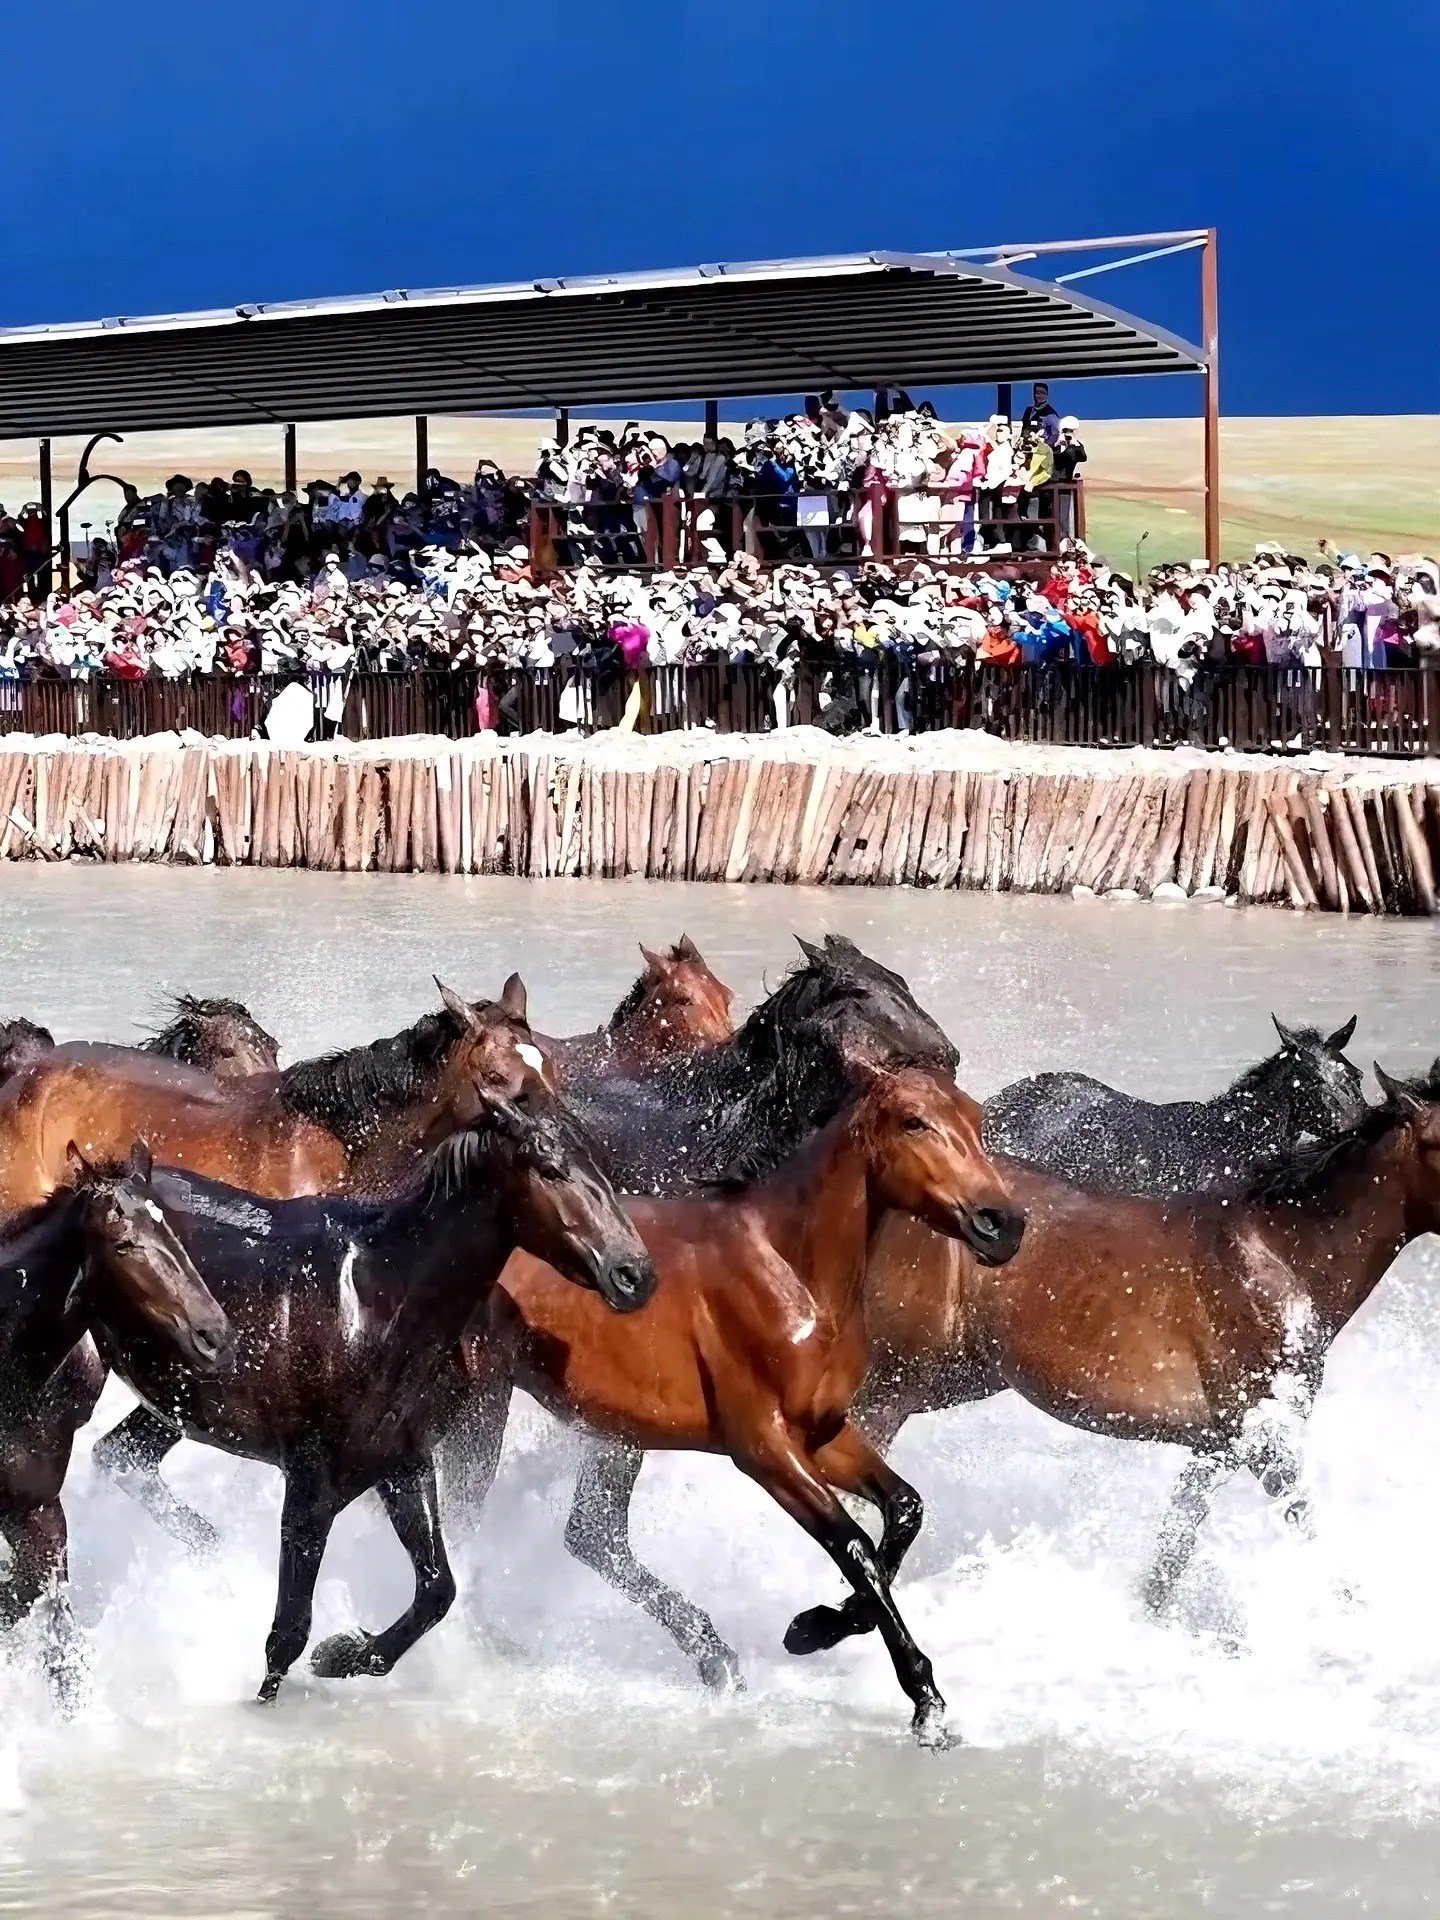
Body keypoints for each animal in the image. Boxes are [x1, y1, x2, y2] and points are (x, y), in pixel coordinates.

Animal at [443, 1075, 1029, 1751]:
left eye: (975, 1118)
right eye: (914, 1121)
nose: (1003, 1223)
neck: (789, 1271)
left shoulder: (824, 1433)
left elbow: (903, 1510)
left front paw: (815, 1626)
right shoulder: (763, 1448)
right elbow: (853, 1547)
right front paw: (924, 1703)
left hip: (614, 1430)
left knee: (592, 1536)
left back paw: (714, 1657)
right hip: (483, 1402)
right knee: (467, 1519)